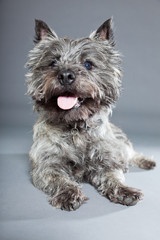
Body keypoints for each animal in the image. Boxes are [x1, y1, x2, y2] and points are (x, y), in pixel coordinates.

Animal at [25, 18, 156, 210]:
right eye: (53, 63)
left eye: (88, 64)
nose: (65, 75)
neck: (75, 127)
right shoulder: (47, 165)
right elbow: (59, 179)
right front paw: (68, 194)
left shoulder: (106, 161)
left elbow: (113, 177)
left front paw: (124, 190)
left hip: (121, 146)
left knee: (130, 153)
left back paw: (147, 161)